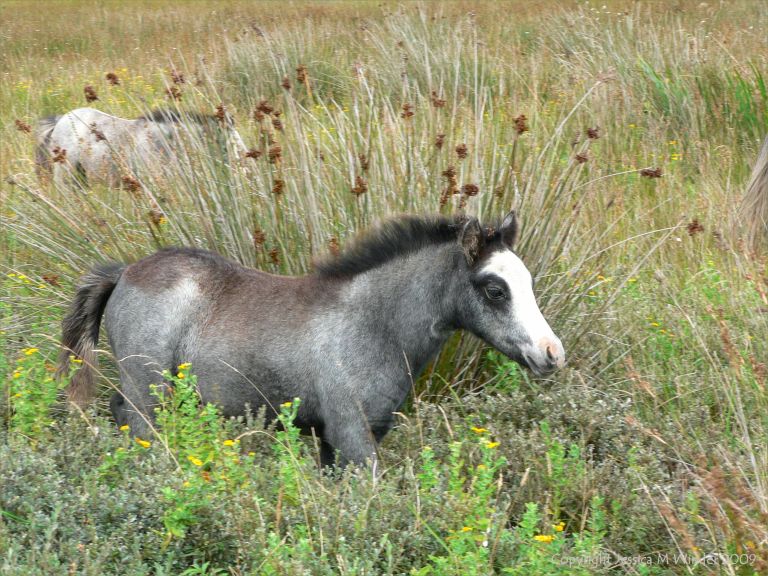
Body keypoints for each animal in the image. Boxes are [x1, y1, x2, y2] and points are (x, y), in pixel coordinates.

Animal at [57, 211, 565, 467]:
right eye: (495, 289)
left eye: (529, 281)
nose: (552, 354)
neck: (373, 322)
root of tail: (125, 272)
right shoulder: (351, 433)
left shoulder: (341, 437)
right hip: (150, 394)